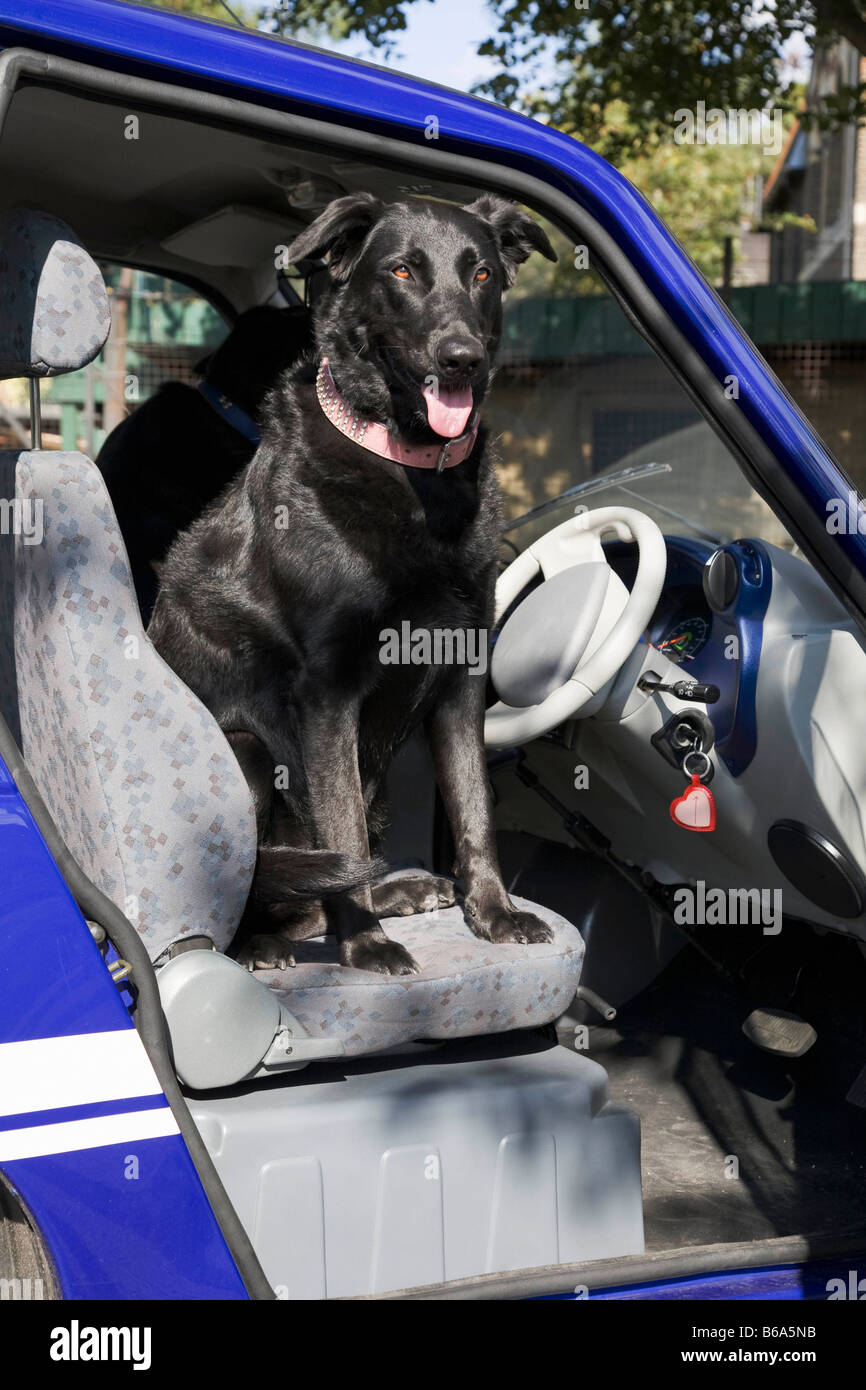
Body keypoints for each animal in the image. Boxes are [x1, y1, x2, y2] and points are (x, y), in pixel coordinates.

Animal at [148, 193, 556, 978]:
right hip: (243, 751)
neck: (413, 469)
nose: (462, 357)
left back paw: (400, 893)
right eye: (402, 271)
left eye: (482, 273)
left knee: (316, 885)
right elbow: (341, 827)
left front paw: (493, 914)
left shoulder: (461, 679)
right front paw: (365, 945)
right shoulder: (328, 693)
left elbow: (473, 807)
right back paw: (264, 945)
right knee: (258, 890)